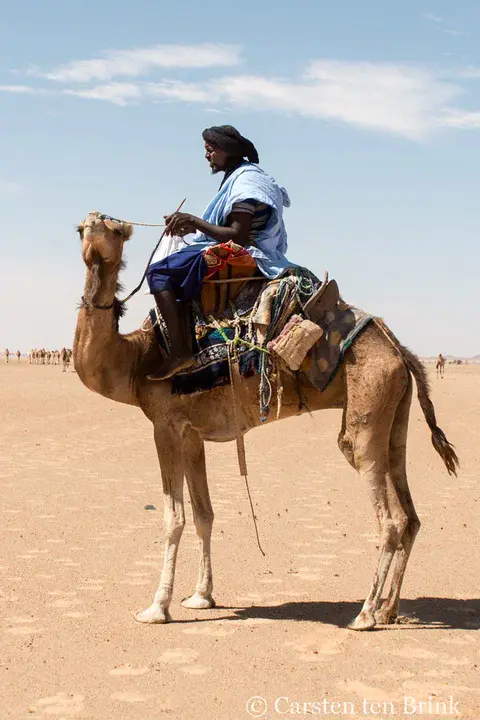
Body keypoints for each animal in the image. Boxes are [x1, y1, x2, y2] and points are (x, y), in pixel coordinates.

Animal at [73, 212, 460, 632]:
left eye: (113, 229)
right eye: (80, 230)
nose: (92, 224)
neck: (138, 356)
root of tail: (398, 348)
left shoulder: (166, 426)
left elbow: (173, 519)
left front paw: (157, 608)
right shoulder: (192, 433)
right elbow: (204, 514)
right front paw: (201, 596)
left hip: (367, 409)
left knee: (389, 515)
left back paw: (365, 613)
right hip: (394, 413)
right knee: (410, 513)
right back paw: (389, 609)